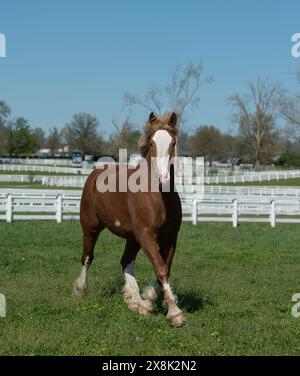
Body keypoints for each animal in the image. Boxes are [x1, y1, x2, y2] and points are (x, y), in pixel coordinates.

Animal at [74, 111, 185, 326]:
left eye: (173, 142)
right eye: (151, 143)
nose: (163, 177)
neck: (159, 196)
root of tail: (95, 172)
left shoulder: (170, 237)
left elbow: (164, 268)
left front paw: (149, 299)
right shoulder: (146, 233)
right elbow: (160, 268)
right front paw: (175, 313)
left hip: (132, 238)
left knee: (125, 261)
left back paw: (136, 302)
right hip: (90, 227)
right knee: (87, 257)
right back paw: (80, 289)